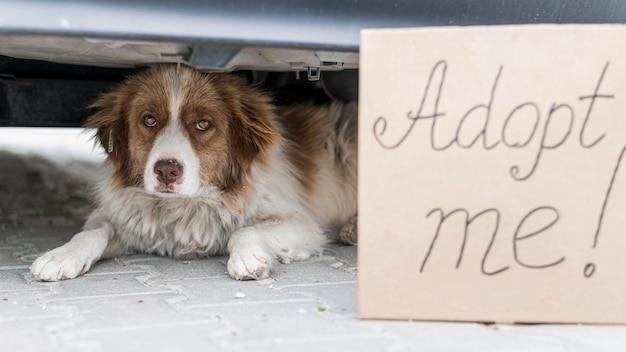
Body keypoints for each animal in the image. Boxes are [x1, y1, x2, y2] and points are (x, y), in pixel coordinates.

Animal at [30, 64, 356, 282]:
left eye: (202, 124)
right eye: (149, 120)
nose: (166, 170)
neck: (185, 205)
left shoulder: (301, 222)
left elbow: (244, 230)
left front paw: (249, 257)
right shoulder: (125, 218)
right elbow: (91, 232)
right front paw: (62, 255)